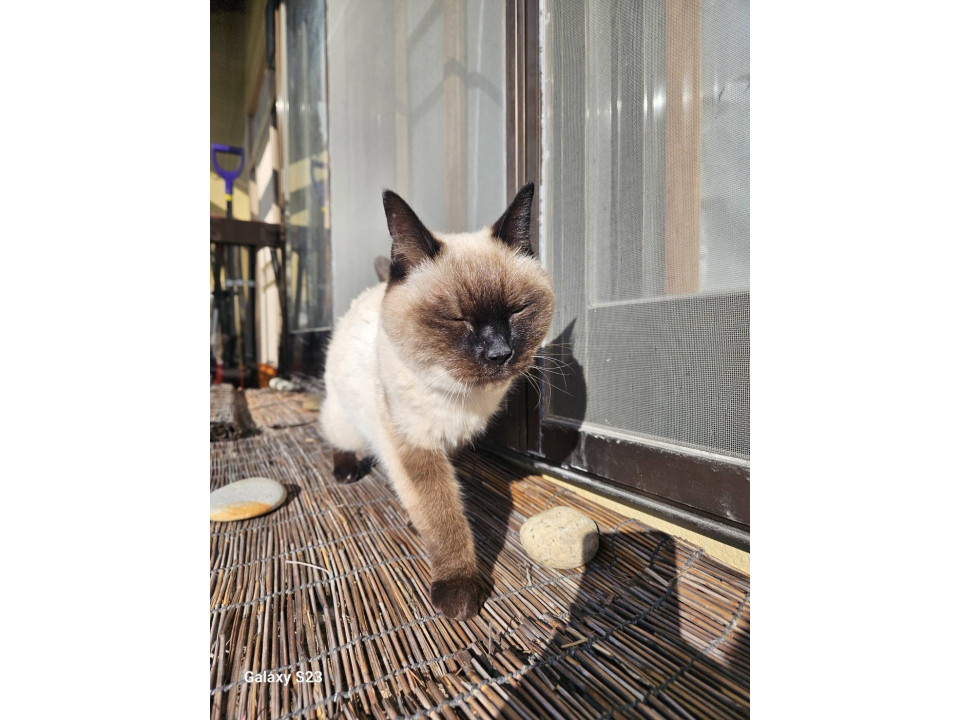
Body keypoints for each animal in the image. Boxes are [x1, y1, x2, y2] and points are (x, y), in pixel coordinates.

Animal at [320, 183, 555, 620]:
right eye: (456, 319)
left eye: (517, 311)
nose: (499, 354)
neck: (461, 397)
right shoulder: (415, 447)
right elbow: (442, 514)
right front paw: (459, 589)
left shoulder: (445, 445)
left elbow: (441, 504)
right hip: (346, 420)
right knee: (337, 438)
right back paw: (346, 469)